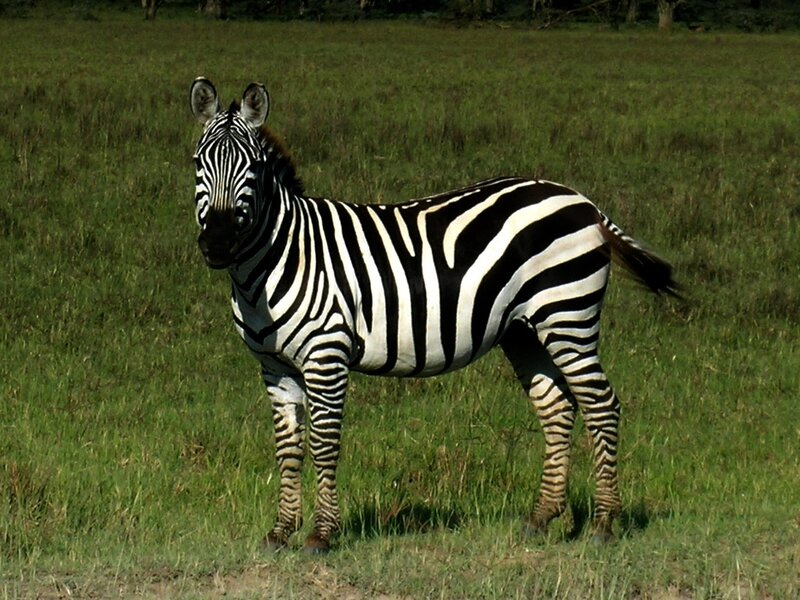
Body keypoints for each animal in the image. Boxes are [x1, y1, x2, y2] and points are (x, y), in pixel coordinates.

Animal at [189, 78, 679, 553]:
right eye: (198, 163)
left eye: (252, 168)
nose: (217, 243)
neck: (278, 258)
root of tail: (581, 201)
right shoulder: (274, 366)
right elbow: (288, 449)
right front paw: (280, 532)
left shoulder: (326, 353)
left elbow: (324, 443)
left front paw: (320, 535)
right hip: (525, 331)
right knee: (557, 408)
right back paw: (541, 519)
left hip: (567, 315)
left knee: (601, 405)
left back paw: (604, 524)